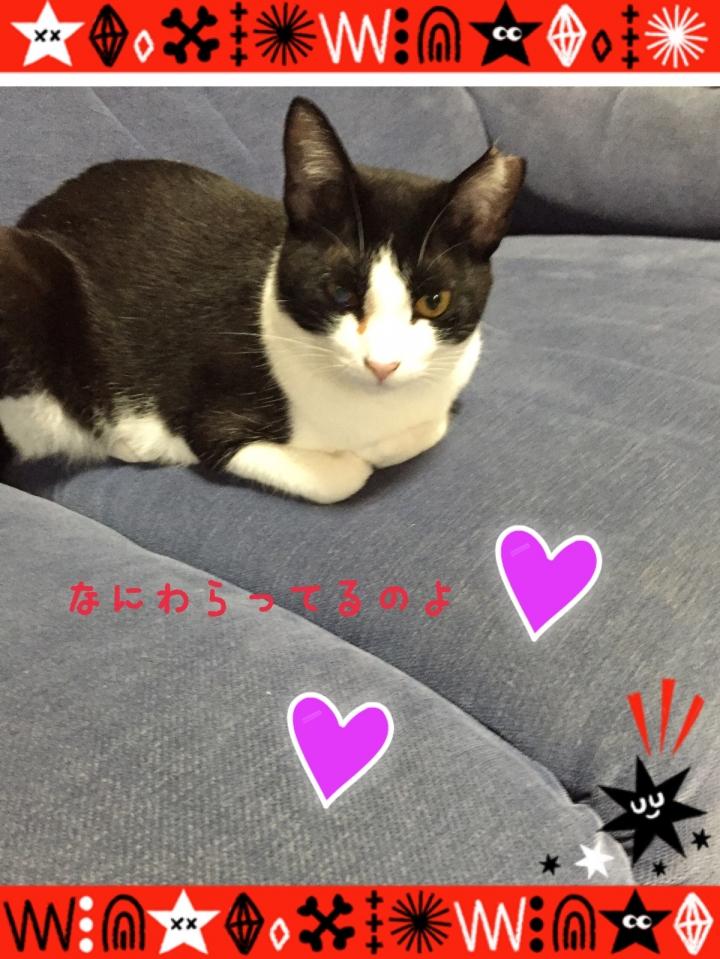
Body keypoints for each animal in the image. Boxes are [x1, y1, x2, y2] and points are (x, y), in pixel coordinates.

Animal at [0, 97, 525, 503]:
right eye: (339, 292)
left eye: (434, 301)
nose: (382, 365)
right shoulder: (215, 418)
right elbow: (342, 476)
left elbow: (431, 425)